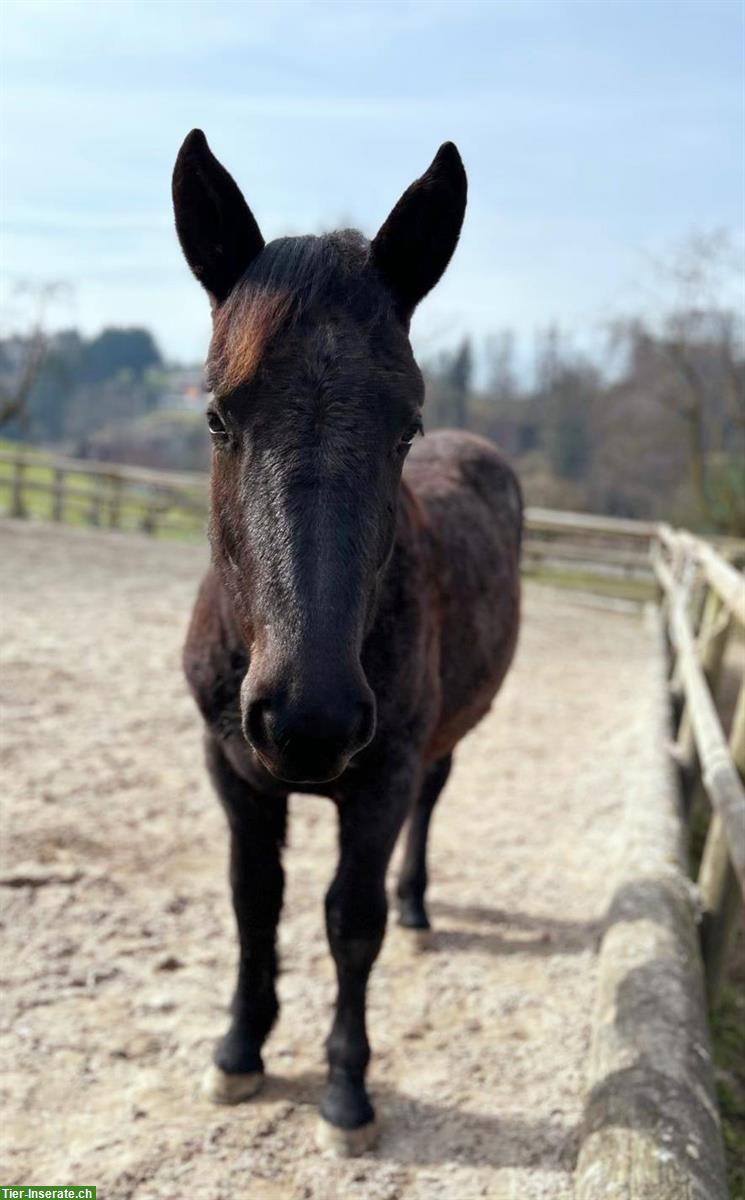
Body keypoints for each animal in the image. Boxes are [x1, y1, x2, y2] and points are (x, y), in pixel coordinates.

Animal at [171, 129, 520, 1152]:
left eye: (406, 427)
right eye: (217, 415)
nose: (307, 717)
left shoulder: (382, 776)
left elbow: (348, 920)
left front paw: (346, 1089)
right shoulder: (233, 771)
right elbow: (255, 903)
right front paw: (239, 1050)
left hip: (439, 737)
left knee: (430, 806)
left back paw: (416, 903)